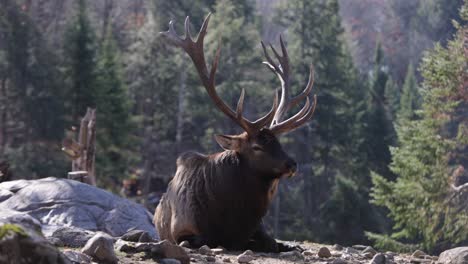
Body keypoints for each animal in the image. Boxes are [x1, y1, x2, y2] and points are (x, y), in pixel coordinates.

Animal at [154, 13, 318, 252]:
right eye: (257, 146)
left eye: (278, 142)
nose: (292, 164)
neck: (234, 217)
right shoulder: (182, 231)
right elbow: (202, 239)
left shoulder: (258, 229)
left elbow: (271, 242)